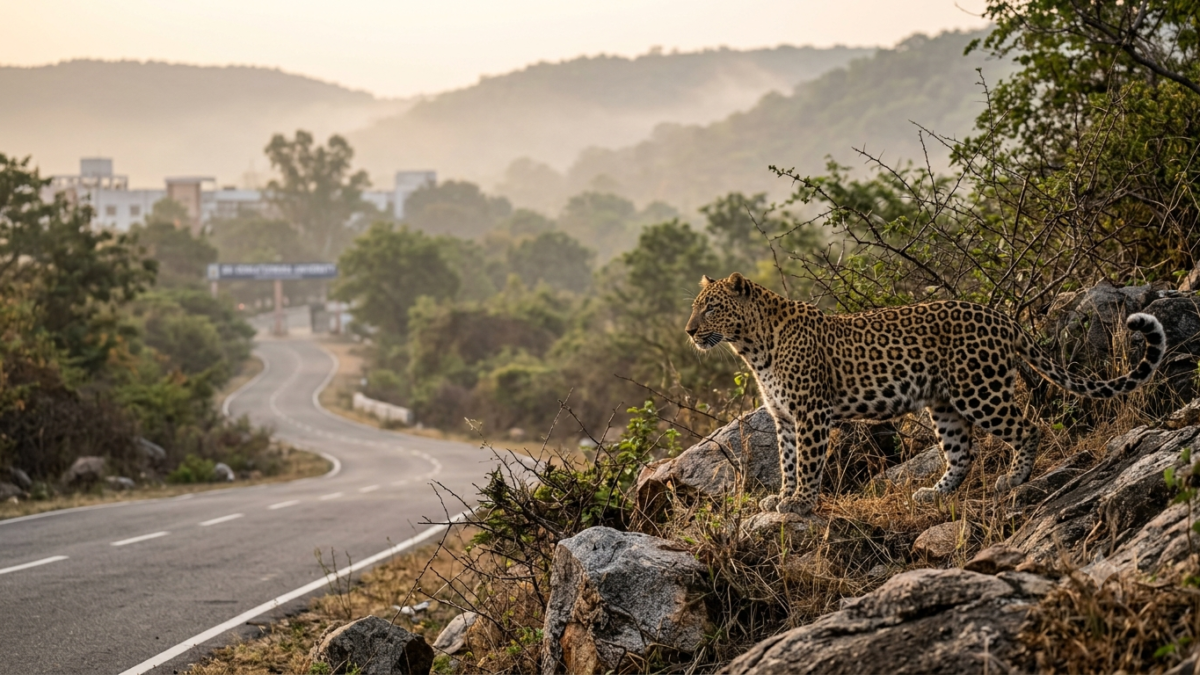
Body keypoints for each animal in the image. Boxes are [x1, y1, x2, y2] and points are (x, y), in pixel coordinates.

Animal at [685, 272, 1166, 516]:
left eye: (711, 307)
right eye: (695, 306)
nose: (689, 331)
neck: (752, 346)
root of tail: (1000, 316)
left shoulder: (810, 415)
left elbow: (807, 463)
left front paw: (800, 503)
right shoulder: (784, 418)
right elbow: (787, 462)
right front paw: (782, 498)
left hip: (979, 390)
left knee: (1028, 426)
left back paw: (1014, 479)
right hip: (944, 404)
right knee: (962, 453)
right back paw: (935, 493)